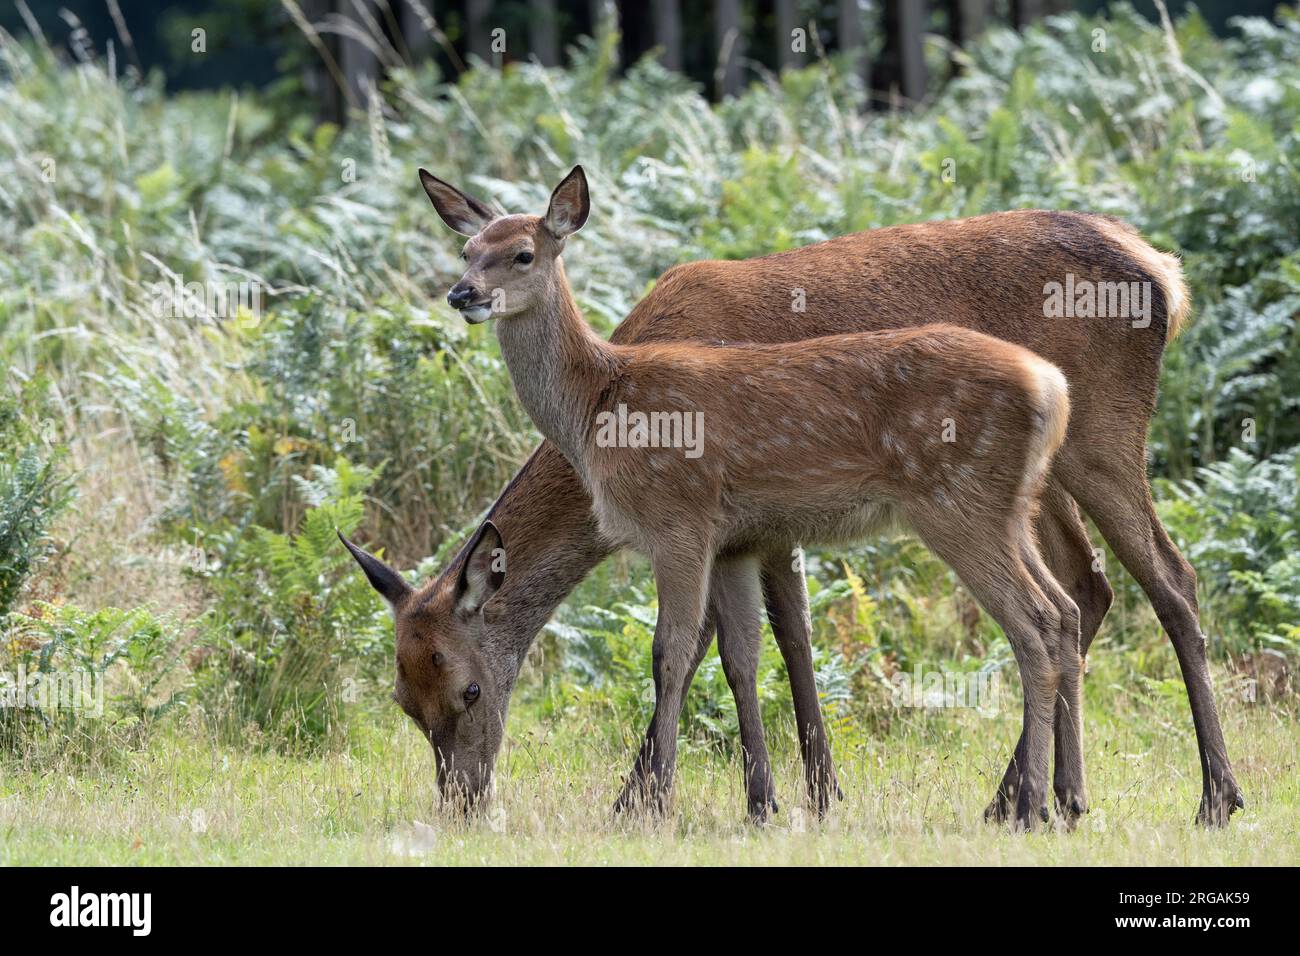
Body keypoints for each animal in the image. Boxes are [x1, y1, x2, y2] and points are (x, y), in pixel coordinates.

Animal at [343, 162, 1237, 822]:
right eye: (401, 697)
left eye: (469, 686)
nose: (460, 801)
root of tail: (1169, 276)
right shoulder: (752, 531)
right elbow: (761, 651)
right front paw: (789, 796)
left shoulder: (712, 522)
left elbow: (717, 645)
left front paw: (654, 798)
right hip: (1039, 486)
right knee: (1086, 591)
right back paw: (1038, 795)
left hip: (1093, 443)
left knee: (1167, 582)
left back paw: (1204, 796)